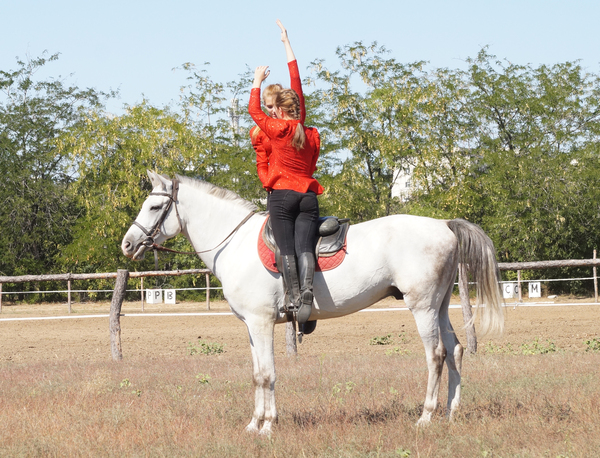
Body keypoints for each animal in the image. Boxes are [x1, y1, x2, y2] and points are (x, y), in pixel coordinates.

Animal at [120, 170, 502, 434]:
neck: (235, 243)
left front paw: (268, 426)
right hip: (440, 306)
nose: (127, 244)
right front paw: (254, 424)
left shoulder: (261, 323)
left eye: (155, 206)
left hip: (422, 307)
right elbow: (257, 374)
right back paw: (451, 412)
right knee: (455, 350)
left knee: (435, 355)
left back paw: (426, 416)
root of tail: (444, 225)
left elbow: (267, 374)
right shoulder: (251, 328)